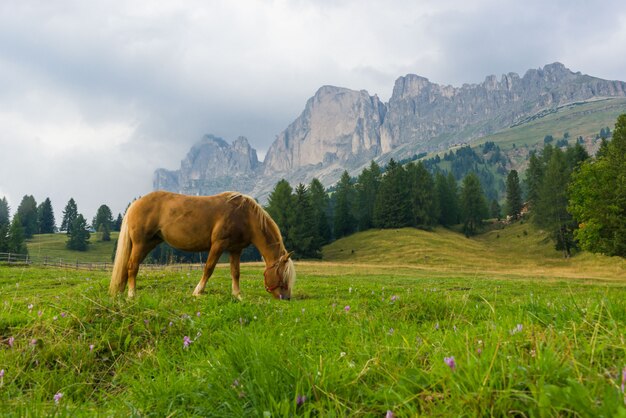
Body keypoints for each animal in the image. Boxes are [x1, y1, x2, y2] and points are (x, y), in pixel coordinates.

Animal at [109, 191, 294, 302]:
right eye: (283, 276)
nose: (286, 298)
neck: (245, 215)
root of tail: (135, 204)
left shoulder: (235, 249)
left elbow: (235, 272)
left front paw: (237, 295)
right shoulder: (218, 244)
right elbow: (209, 268)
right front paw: (198, 291)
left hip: (149, 243)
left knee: (127, 267)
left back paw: (121, 292)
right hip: (140, 244)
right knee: (132, 266)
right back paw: (132, 294)